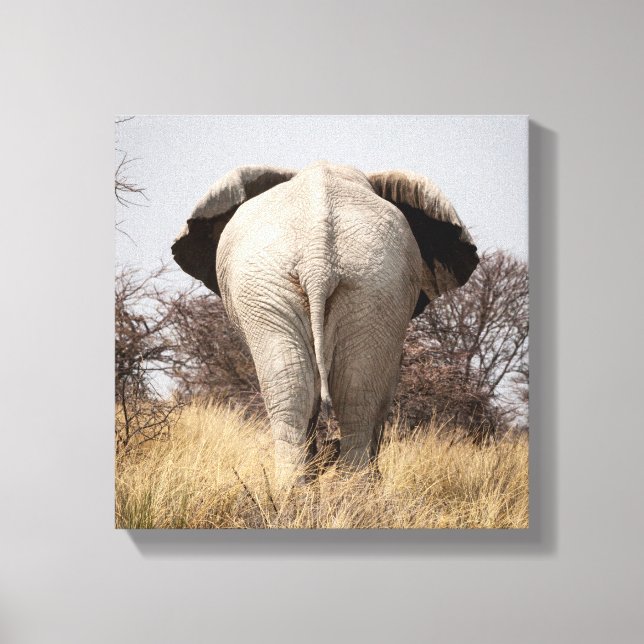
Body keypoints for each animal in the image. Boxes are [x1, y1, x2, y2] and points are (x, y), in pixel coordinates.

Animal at [172, 161, 478, 484]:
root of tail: (318, 257)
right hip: (301, 285)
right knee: (336, 391)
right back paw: (334, 488)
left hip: (364, 285)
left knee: (325, 390)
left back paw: (317, 488)